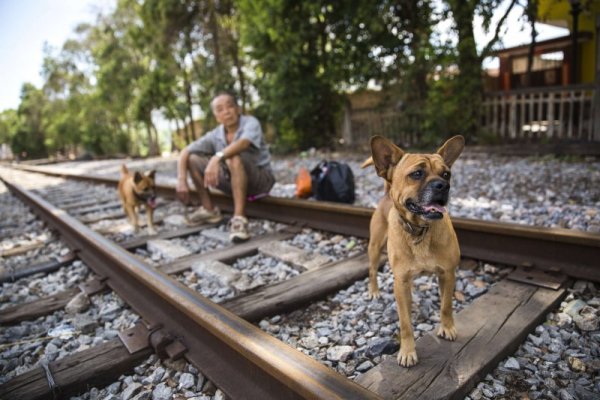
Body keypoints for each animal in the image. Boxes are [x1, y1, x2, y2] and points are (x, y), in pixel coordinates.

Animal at [360, 136, 464, 368]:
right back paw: (374, 291)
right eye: (417, 174)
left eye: (446, 174)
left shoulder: (447, 274)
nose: (444, 185)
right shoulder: (400, 282)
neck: (420, 230)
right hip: (375, 248)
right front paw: (407, 351)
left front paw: (447, 327)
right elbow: (405, 323)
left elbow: (446, 305)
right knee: (372, 271)